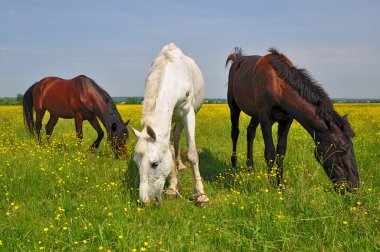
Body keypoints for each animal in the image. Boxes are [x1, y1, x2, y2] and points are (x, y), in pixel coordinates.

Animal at [130, 42, 208, 205]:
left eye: (154, 164)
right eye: (136, 162)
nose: (145, 201)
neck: (175, 78)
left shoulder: (187, 112)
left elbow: (192, 154)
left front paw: (201, 195)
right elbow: (170, 150)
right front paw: (172, 188)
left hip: (181, 118)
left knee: (177, 136)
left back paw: (181, 165)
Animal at [226, 47, 360, 190]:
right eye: (343, 149)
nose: (354, 186)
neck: (277, 85)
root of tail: (237, 59)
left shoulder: (286, 120)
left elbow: (281, 151)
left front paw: (279, 184)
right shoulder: (265, 119)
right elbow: (270, 152)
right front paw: (271, 185)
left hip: (255, 114)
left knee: (250, 132)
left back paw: (250, 167)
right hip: (234, 107)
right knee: (235, 133)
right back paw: (234, 165)